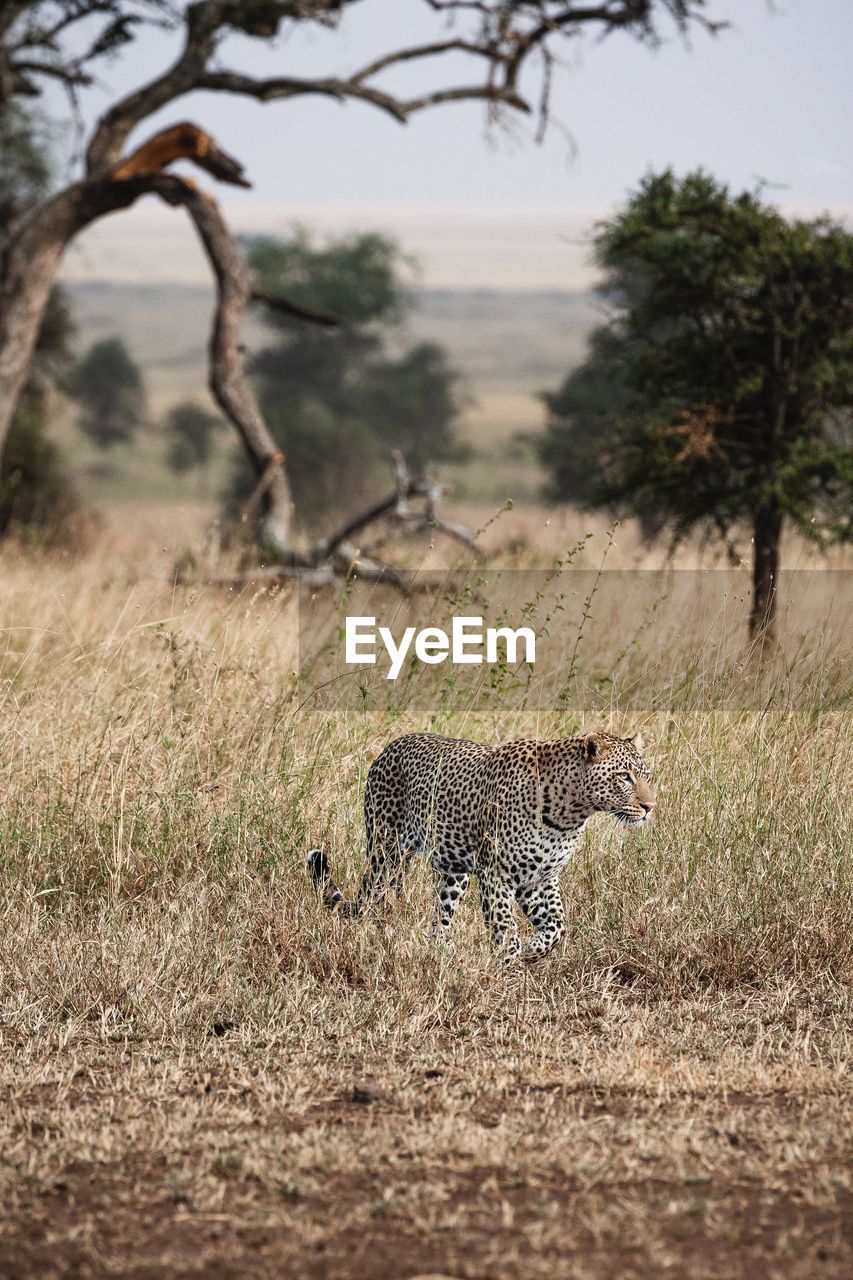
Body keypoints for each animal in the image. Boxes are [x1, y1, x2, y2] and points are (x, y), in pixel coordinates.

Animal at [308, 732, 653, 962]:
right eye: (624, 776)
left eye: (647, 775)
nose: (650, 806)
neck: (569, 812)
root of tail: (389, 747)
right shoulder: (497, 874)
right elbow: (505, 929)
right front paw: (508, 971)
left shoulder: (539, 878)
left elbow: (557, 927)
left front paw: (532, 952)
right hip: (387, 852)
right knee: (378, 905)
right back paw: (380, 946)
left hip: (453, 871)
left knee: (440, 921)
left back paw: (444, 959)